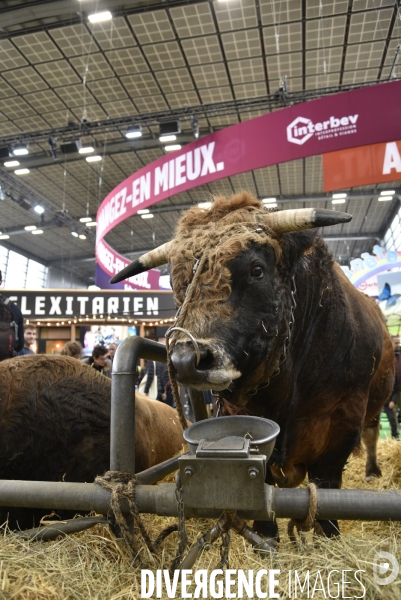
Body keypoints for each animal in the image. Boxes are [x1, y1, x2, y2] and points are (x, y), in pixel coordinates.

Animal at [112, 192, 394, 540]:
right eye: (177, 283)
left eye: (257, 269)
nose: (186, 361)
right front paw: (265, 535)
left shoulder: (343, 421)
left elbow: (327, 487)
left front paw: (328, 535)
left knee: (371, 436)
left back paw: (372, 471)